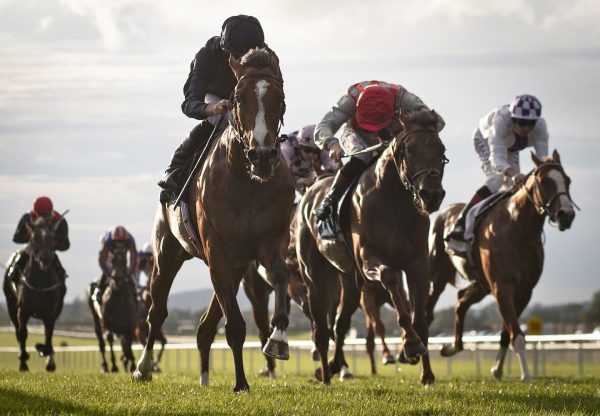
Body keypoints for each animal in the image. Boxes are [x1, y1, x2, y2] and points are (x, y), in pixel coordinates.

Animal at [2, 216, 65, 372]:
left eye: (52, 238)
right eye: (34, 238)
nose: (45, 258)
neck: (40, 284)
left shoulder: (50, 313)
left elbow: (48, 336)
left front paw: (44, 353)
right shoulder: (22, 310)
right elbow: (22, 333)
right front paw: (23, 363)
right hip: (10, 304)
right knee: (18, 330)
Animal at [132, 48, 294, 394]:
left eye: (280, 97)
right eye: (237, 98)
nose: (262, 155)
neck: (247, 180)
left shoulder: (269, 242)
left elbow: (280, 275)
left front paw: (278, 339)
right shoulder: (217, 250)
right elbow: (234, 326)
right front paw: (241, 383)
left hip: (236, 268)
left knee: (205, 326)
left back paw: (204, 378)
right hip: (167, 254)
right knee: (157, 312)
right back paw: (142, 368)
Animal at [298, 109, 448, 384]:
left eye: (440, 149)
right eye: (409, 150)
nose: (431, 195)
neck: (394, 202)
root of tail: (311, 190)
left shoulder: (417, 264)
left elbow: (420, 317)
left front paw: (427, 374)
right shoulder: (369, 260)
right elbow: (390, 279)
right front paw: (410, 344)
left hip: (349, 281)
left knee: (340, 323)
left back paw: (334, 366)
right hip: (314, 277)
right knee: (320, 329)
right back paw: (324, 373)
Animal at [426, 151, 576, 382]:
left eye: (567, 181)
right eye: (544, 182)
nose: (565, 215)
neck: (518, 228)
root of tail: (445, 212)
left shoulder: (524, 291)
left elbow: (508, 332)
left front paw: (497, 369)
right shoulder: (502, 286)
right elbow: (516, 333)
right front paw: (526, 375)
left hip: (481, 284)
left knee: (461, 301)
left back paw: (451, 347)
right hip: (437, 277)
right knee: (427, 312)